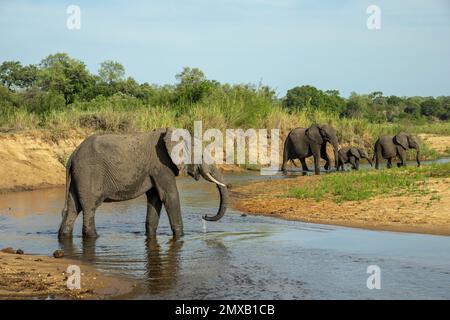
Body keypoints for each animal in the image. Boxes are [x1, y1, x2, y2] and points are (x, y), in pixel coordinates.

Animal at [58, 129, 229, 239]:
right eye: (201, 155)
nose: (204, 215)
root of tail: (72, 156)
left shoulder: (155, 170)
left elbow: (155, 199)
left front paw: (150, 234)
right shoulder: (161, 165)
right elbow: (170, 196)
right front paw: (181, 236)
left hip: (78, 177)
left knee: (73, 208)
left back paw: (64, 236)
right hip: (88, 173)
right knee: (89, 208)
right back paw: (94, 236)